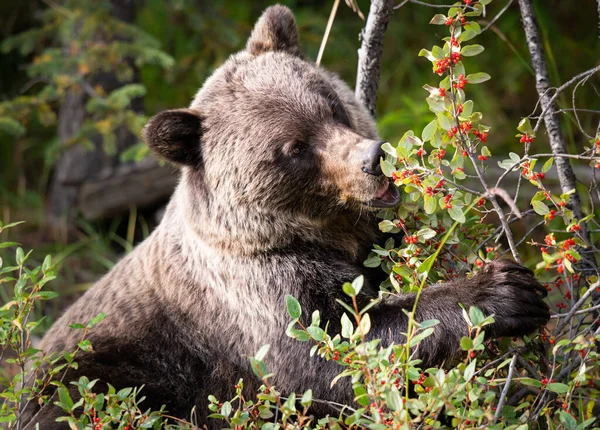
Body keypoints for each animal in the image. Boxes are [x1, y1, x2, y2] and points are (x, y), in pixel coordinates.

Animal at [27, 4, 548, 430]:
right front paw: (504, 291)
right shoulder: (261, 292)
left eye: (331, 105)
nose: (373, 158)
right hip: (94, 376)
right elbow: (333, 355)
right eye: (294, 148)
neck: (321, 232)